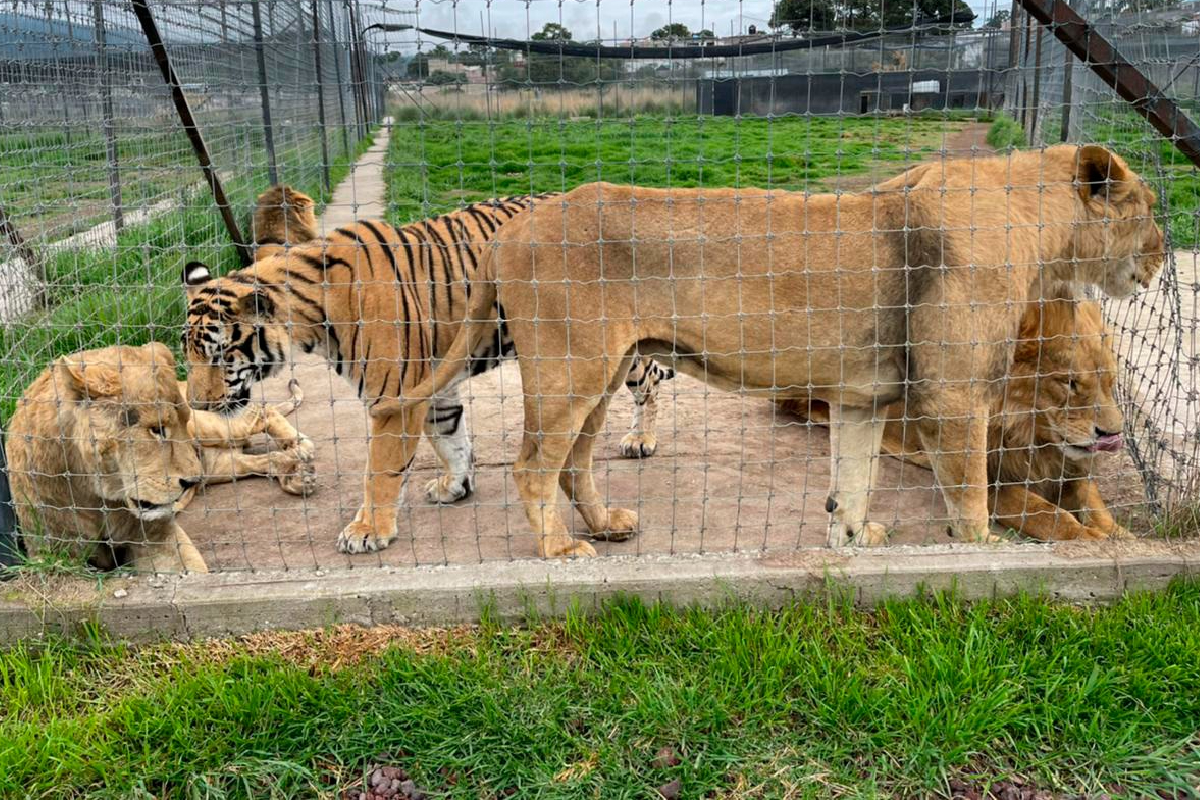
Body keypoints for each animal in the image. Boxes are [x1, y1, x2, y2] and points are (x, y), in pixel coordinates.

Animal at [7, 340, 314, 573]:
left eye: (177, 424)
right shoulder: (52, 556)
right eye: (156, 429)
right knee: (255, 458)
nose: (191, 482)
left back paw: (302, 448)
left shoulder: (159, 538)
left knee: (261, 412)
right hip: (218, 465)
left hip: (210, 424)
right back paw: (296, 474)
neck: (93, 496)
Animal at [184, 193, 676, 554]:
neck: (313, 317)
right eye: (188, 354)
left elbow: (381, 469)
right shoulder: (433, 389)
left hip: (618, 349)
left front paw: (367, 530)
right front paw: (455, 486)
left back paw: (641, 438)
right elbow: (451, 440)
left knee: (650, 382)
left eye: (220, 354)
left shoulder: (393, 400)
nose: (196, 406)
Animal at [777, 291, 1132, 542]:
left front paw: (1120, 536)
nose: (1113, 435)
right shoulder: (992, 484)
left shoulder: (1069, 469)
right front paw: (1089, 539)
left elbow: (1095, 505)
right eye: (1069, 383)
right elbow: (1046, 514)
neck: (1030, 434)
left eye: (1110, 382)